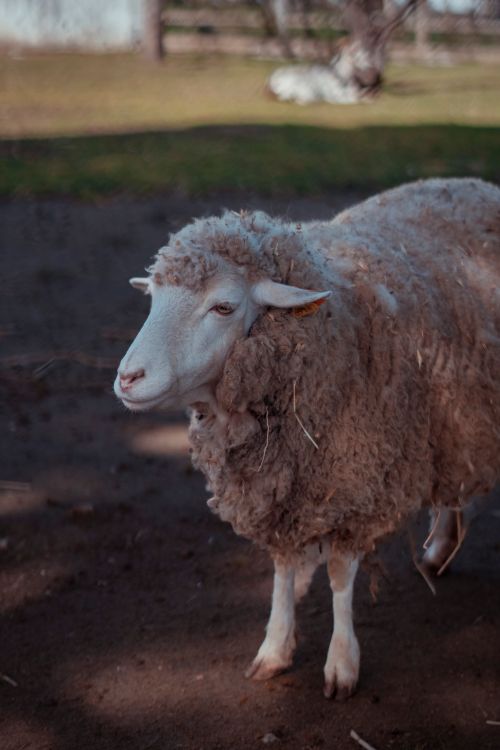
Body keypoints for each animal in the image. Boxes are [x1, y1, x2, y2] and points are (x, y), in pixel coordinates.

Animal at [114, 177, 500, 698]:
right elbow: (283, 565)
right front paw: (274, 648)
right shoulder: (283, 490)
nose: (127, 378)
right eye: (152, 298)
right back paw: (440, 550)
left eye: (223, 306)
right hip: (454, 419)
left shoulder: (356, 483)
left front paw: (341, 663)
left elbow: (339, 574)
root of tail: (475, 183)